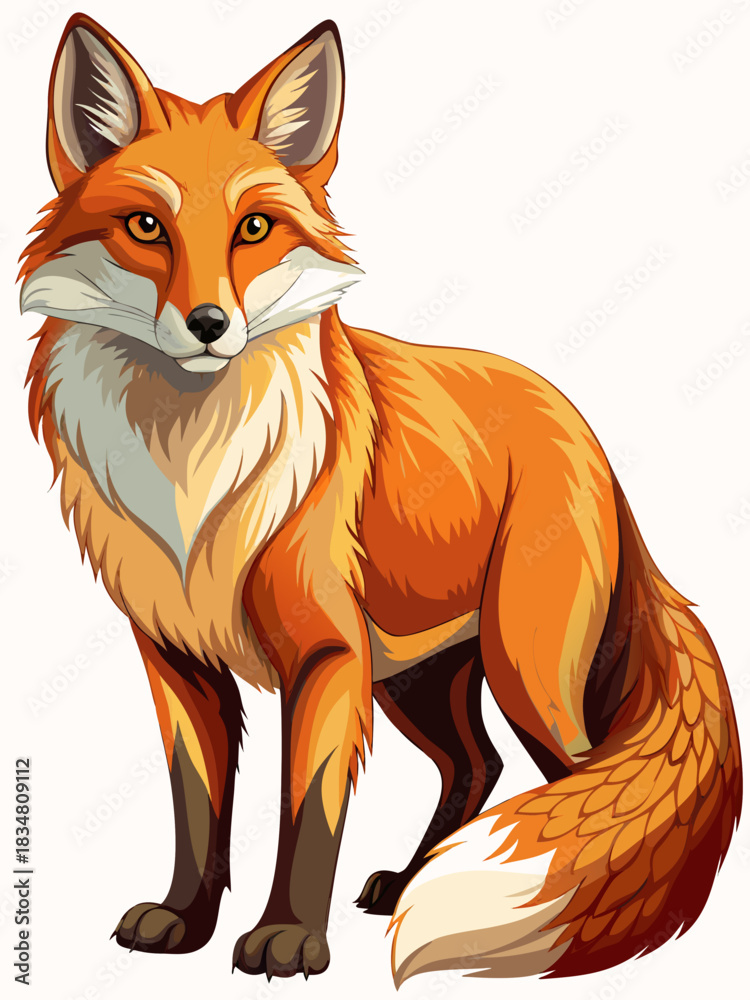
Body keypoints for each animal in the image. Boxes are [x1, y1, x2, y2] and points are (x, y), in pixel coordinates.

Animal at [20, 12, 742, 986]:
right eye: (145, 227)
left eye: (254, 228)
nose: (209, 325)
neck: (193, 473)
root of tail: (584, 430)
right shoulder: (177, 658)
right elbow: (198, 807)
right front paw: (185, 919)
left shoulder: (326, 654)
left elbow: (308, 814)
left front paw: (290, 939)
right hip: (419, 677)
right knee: (477, 767)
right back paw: (410, 883)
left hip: (523, 672)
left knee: (574, 777)